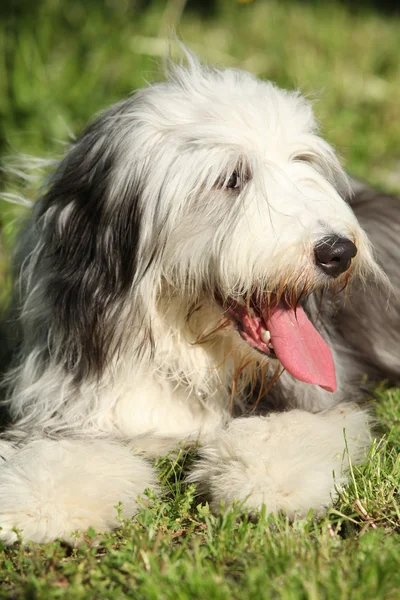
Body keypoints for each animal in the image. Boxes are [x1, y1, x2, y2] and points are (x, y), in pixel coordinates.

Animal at [0, 51, 400, 544]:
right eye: (231, 178)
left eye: (301, 161)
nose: (339, 252)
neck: (180, 352)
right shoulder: (72, 404)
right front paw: (40, 503)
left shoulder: (323, 397)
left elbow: (290, 429)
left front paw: (264, 482)